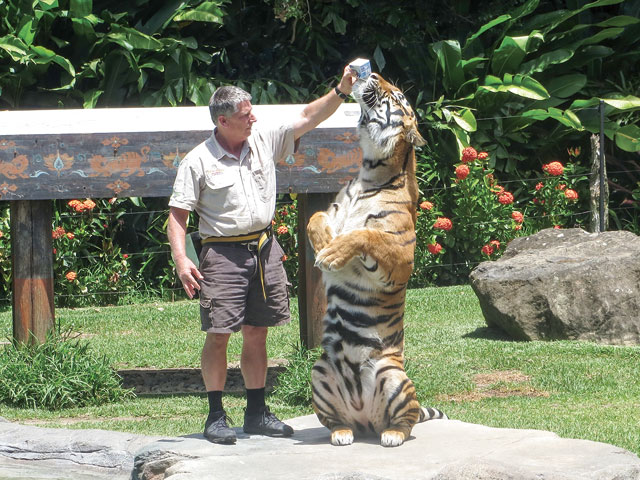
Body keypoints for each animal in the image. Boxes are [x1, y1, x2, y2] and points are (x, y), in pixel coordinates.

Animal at [308, 73, 448, 448]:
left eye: (397, 97)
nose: (370, 74)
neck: (368, 173)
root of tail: (365, 419)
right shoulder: (332, 209)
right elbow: (315, 217)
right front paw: (322, 243)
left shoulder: (401, 259)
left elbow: (364, 235)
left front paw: (332, 253)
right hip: (319, 369)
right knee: (338, 422)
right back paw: (342, 433)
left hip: (391, 374)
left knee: (407, 420)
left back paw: (392, 436)